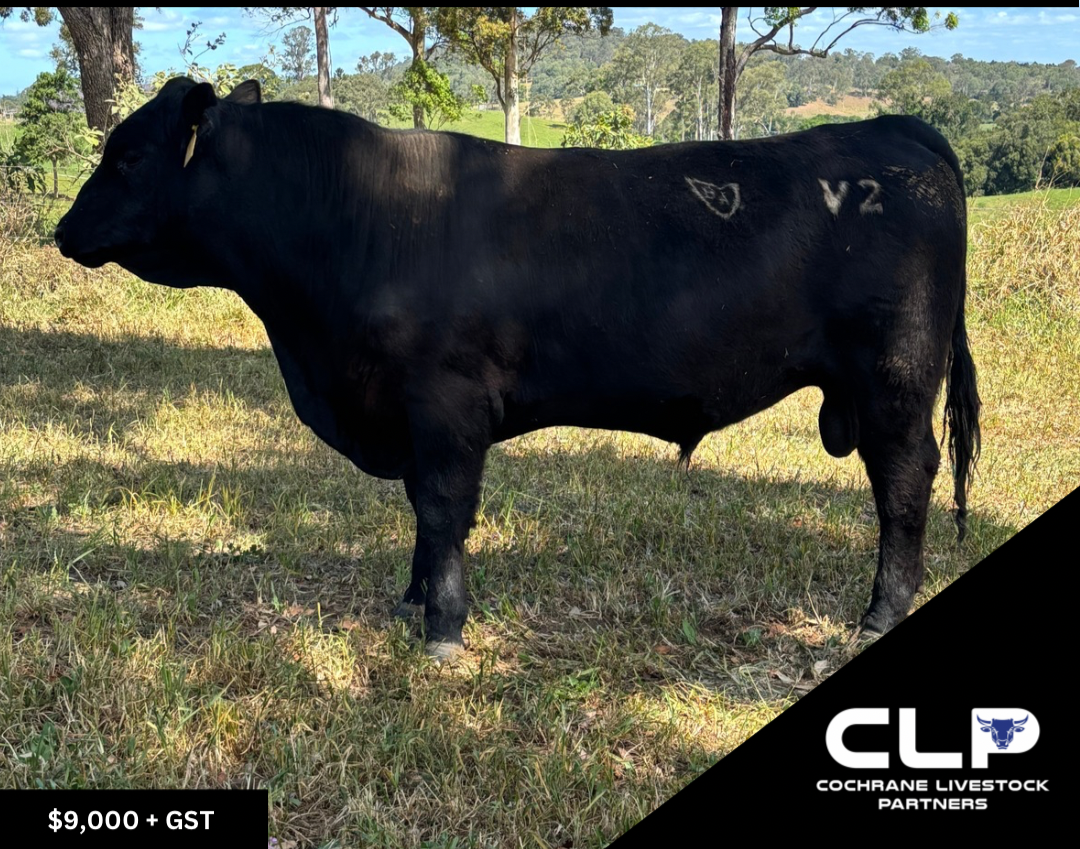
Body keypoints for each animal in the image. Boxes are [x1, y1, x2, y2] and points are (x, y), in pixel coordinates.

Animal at [54, 77, 981, 659]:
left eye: (126, 156)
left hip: (895, 381)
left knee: (904, 487)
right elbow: (422, 514)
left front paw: (443, 629)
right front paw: (412, 600)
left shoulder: (446, 403)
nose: (62, 230)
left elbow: (443, 508)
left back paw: (877, 613)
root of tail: (892, 127)